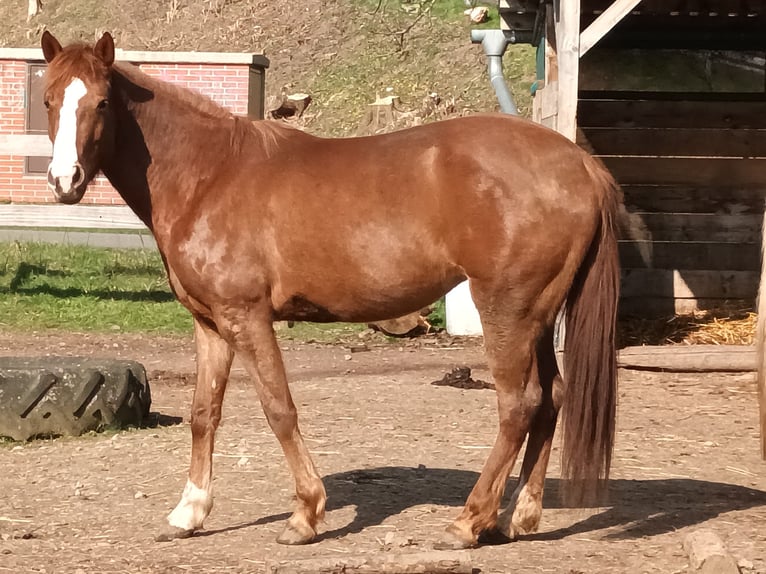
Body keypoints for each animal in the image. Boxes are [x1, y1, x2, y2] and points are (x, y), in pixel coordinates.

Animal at [39, 30, 620, 548]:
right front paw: (189, 513)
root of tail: (580, 164)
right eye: (48, 99)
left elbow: (279, 408)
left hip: (507, 311)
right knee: (552, 398)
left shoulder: (246, 317)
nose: (65, 181)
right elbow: (205, 414)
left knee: (519, 405)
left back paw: (468, 522)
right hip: (536, 317)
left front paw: (305, 515)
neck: (209, 175)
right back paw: (516, 517)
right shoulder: (210, 323)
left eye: (102, 101)